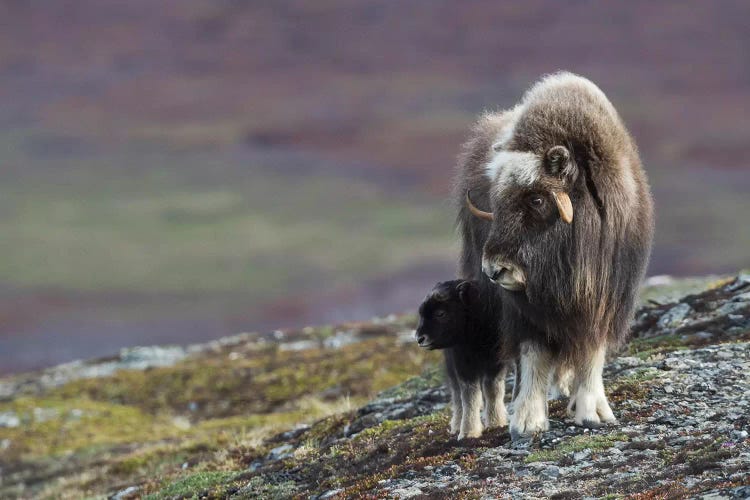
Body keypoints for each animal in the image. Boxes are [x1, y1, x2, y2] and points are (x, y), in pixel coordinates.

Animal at [418, 280, 516, 440]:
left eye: (440, 313)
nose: (419, 338)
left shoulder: (496, 360)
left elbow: (492, 389)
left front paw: (495, 422)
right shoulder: (463, 363)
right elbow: (469, 395)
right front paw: (468, 432)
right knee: (457, 395)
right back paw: (457, 426)